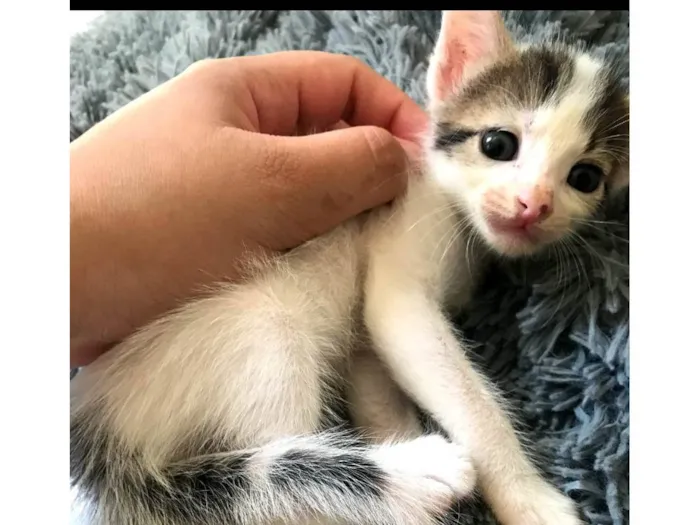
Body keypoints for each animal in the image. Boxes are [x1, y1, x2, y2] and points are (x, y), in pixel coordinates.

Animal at [71, 9, 628, 524]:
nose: (534, 205)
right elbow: (469, 401)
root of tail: (95, 426)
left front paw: (396, 436)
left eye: (584, 178)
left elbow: (371, 371)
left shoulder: (362, 337)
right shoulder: (400, 264)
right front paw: (527, 498)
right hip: (267, 340)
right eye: (498, 144)